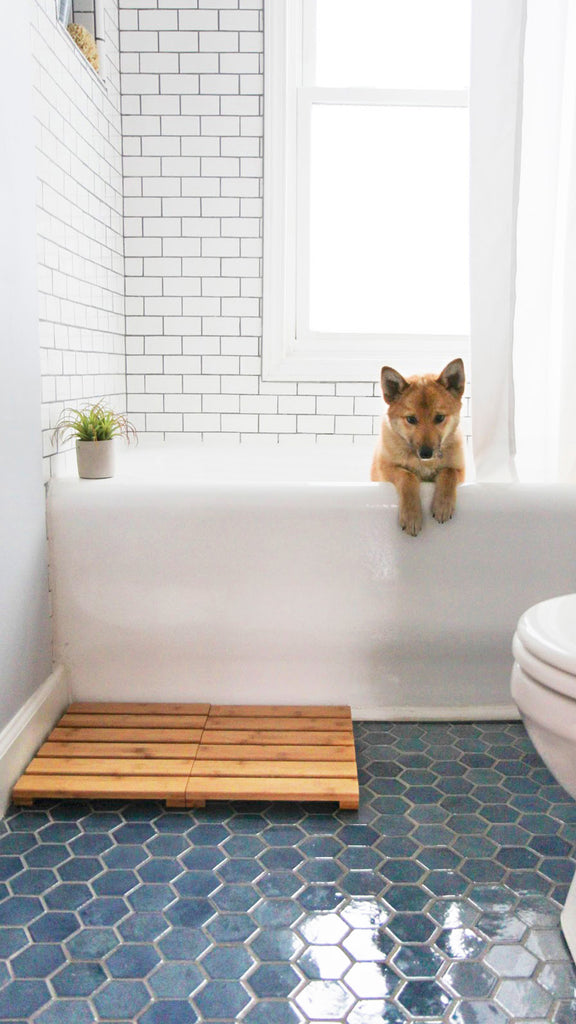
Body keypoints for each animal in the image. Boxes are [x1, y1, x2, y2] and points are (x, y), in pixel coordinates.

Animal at [368, 358, 463, 536]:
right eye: (411, 419)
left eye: (440, 418)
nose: (426, 453)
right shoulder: (387, 468)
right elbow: (408, 476)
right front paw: (412, 515)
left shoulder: (460, 470)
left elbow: (448, 472)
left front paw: (443, 505)